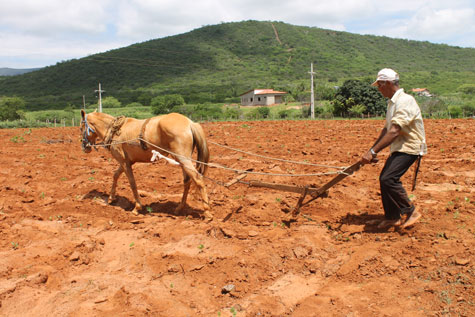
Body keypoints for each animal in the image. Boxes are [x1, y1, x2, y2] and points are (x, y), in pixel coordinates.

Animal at [80, 110, 212, 218]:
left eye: (81, 128)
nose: (84, 147)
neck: (115, 132)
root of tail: (190, 123)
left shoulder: (124, 162)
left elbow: (132, 183)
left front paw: (137, 207)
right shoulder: (126, 162)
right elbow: (115, 175)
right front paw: (111, 198)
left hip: (182, 158)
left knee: (198, 180)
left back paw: (207, 211)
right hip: (182, 160)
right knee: (187, 181)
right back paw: (180, 208)